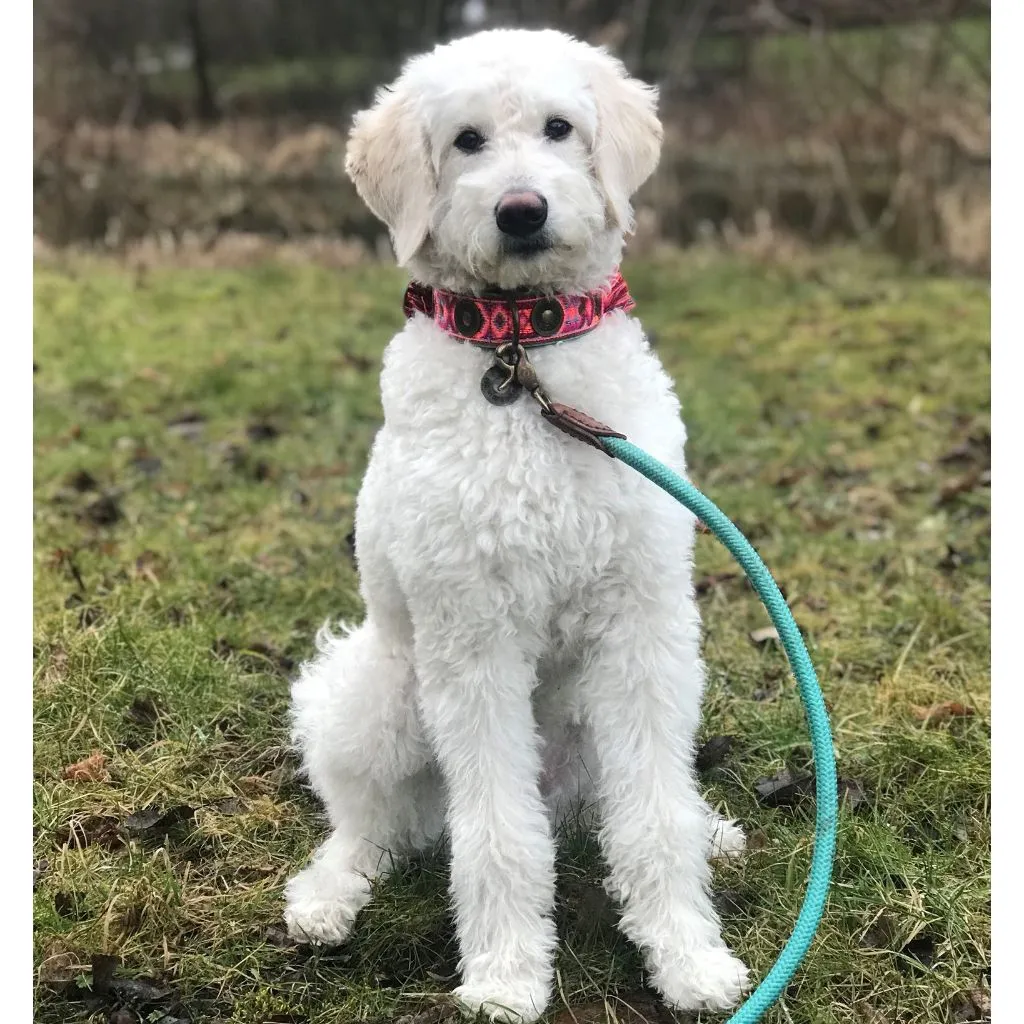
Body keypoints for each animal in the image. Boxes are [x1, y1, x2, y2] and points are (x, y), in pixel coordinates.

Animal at [288, 28, 753, 1019]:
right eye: (466, 141)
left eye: (559, 127)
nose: (521, 211)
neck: (521, 350)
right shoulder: (475, 640)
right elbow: (498, 834)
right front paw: (505, 975)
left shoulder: (643, 626)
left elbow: (654, 816)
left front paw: (688, 958)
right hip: (378, 697)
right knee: (371, 823)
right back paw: (325, 899)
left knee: (607, 811)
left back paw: (709, 831)